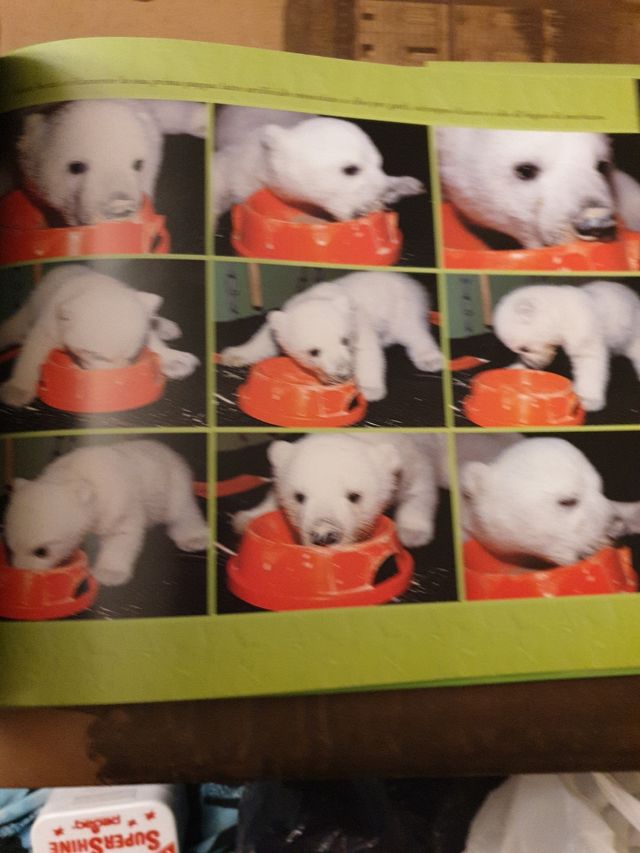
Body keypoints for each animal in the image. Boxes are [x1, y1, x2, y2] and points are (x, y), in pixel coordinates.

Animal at [0, 264, 200, 409]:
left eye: (132, 356)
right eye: (97, 355)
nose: (118, 384)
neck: (91, 284)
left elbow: (150, 335)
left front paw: (177, 361)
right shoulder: (52, 320)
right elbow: (35, 348)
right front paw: (16, 391)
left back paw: (167, 326)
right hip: (32, 308)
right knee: (17, 326)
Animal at [4, 439, 209, 586]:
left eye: (41, 551)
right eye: (10, 547)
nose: (20, 573)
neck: (77, 476)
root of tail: (169, 450)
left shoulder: (117, 501)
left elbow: (120, 534)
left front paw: (109, 574)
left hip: (172, 481)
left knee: (182, 510)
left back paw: (194, 539)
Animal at [220, 271, 443, 402]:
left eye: (345, 340)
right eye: (313, 351)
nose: (342, 373)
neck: (320, 296)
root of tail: (413, 283)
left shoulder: (357, 319)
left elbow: (368, 351)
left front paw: (370, 389)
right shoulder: (285, 316)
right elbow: (266, 338)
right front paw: (233, 355)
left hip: (404, 306)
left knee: (414, 331)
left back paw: (430, 359)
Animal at [231, 433, 449, 549]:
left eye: (354, 496)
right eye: (299, 496)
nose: (324, 536)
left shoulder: (410, 461)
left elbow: (420, 490)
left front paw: (413, 533)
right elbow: (275, 493)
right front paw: (246, 519)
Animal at [492, 280, 640, 412]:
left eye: (524, 348)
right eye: (517, 351)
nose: (533, 365)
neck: (561, 314)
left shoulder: (583, 329)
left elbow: (590, 360)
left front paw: (588, 399)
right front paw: (514, 368)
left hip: (633, 330)